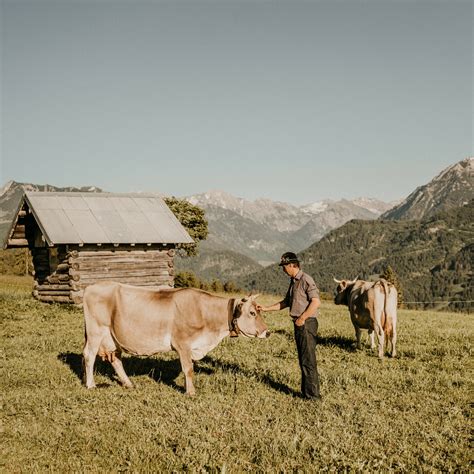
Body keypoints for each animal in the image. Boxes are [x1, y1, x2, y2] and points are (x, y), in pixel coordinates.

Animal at [83, 282, 268, 396]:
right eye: (252, 313)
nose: (267, 332)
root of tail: (90, 287)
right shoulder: (183, 343)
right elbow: (188, 369)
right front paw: (191, 392)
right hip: (95, 332)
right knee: (89, 355)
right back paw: (91, 385)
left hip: (113, 337)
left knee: (115, 359)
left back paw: (128, 383)